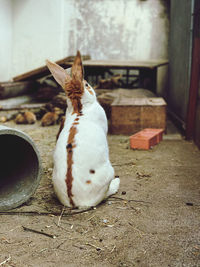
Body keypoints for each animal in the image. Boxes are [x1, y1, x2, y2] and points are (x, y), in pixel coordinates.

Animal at [46, 50, 119, 209]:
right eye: (86, 84)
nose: (91, 88)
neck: (80, 109)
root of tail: (76, 202)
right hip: (109, 172)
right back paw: (116, 184)